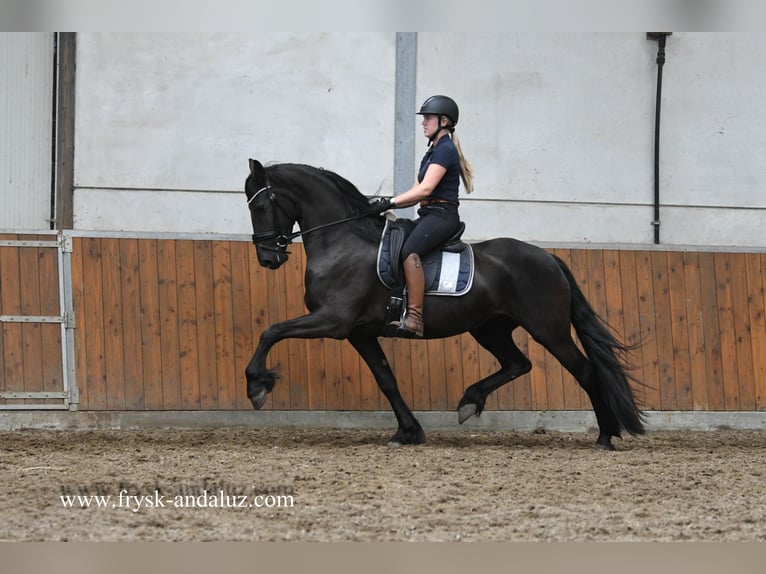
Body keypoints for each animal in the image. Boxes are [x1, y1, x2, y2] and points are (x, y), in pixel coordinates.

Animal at [243, 160, 644, 452]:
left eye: (261, 205)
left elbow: (270, 331)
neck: (341, 240)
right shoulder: (359, 333)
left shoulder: (332, 321)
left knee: (586, 371)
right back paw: (470, 400)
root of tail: (550, 258)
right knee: (519, 363)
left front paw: (258, 386)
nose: (267, 258)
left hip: (548, 330)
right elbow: (387, 380)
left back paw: (605, 437)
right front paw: (408, 432)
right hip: (489, 328)